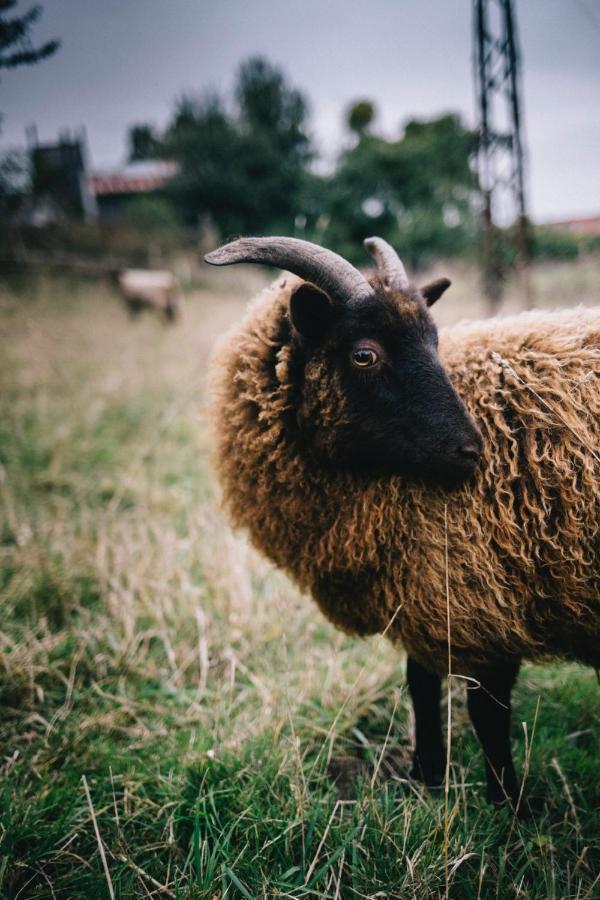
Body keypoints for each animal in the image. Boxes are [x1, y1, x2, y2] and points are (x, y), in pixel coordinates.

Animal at [204, 236, 596, 812]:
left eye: (435, 341)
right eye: (364, 353)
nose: (472, 452)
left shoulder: (487, 598)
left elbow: (487, 712)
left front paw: (507, 804)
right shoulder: (427, 593)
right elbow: (421, 684)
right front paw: (425, 777)